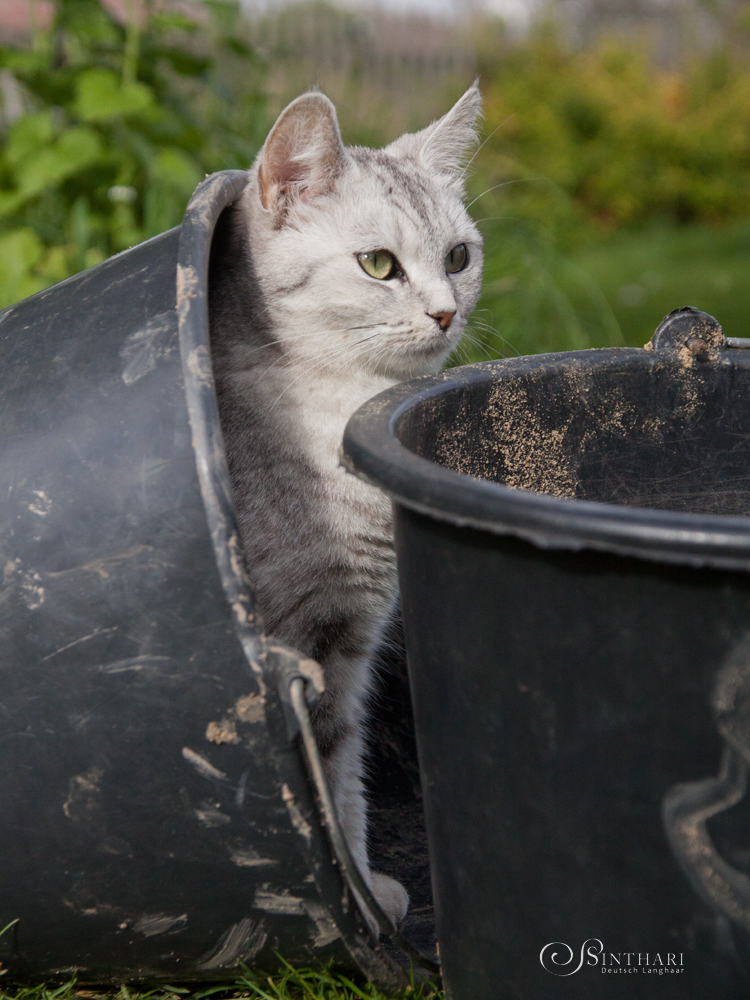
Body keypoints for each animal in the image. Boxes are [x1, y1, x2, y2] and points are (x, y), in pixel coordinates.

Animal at [209, 82, 484, 924]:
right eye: (379, 265)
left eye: (459, 258)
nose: (446, 313)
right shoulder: (301, 639)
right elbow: (323, 778)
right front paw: (356, 904)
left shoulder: (351, 639)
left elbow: (345, 762)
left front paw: (366, 883)